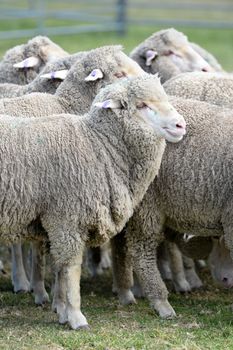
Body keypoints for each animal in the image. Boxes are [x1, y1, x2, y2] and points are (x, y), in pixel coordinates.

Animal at [0, 75, 187, 330]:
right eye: (141, 105)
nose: (181, 125)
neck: (97, 146)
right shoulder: (66, 218)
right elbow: (71, 268)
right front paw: (76, 317)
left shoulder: (55, 224)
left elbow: (60, 268)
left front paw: (62, 311)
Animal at [112, 97, 233, 318]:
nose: (227, 281)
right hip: (146, 205)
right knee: (141, 249)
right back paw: (161, 302)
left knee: (120, 245)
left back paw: (125, 292)